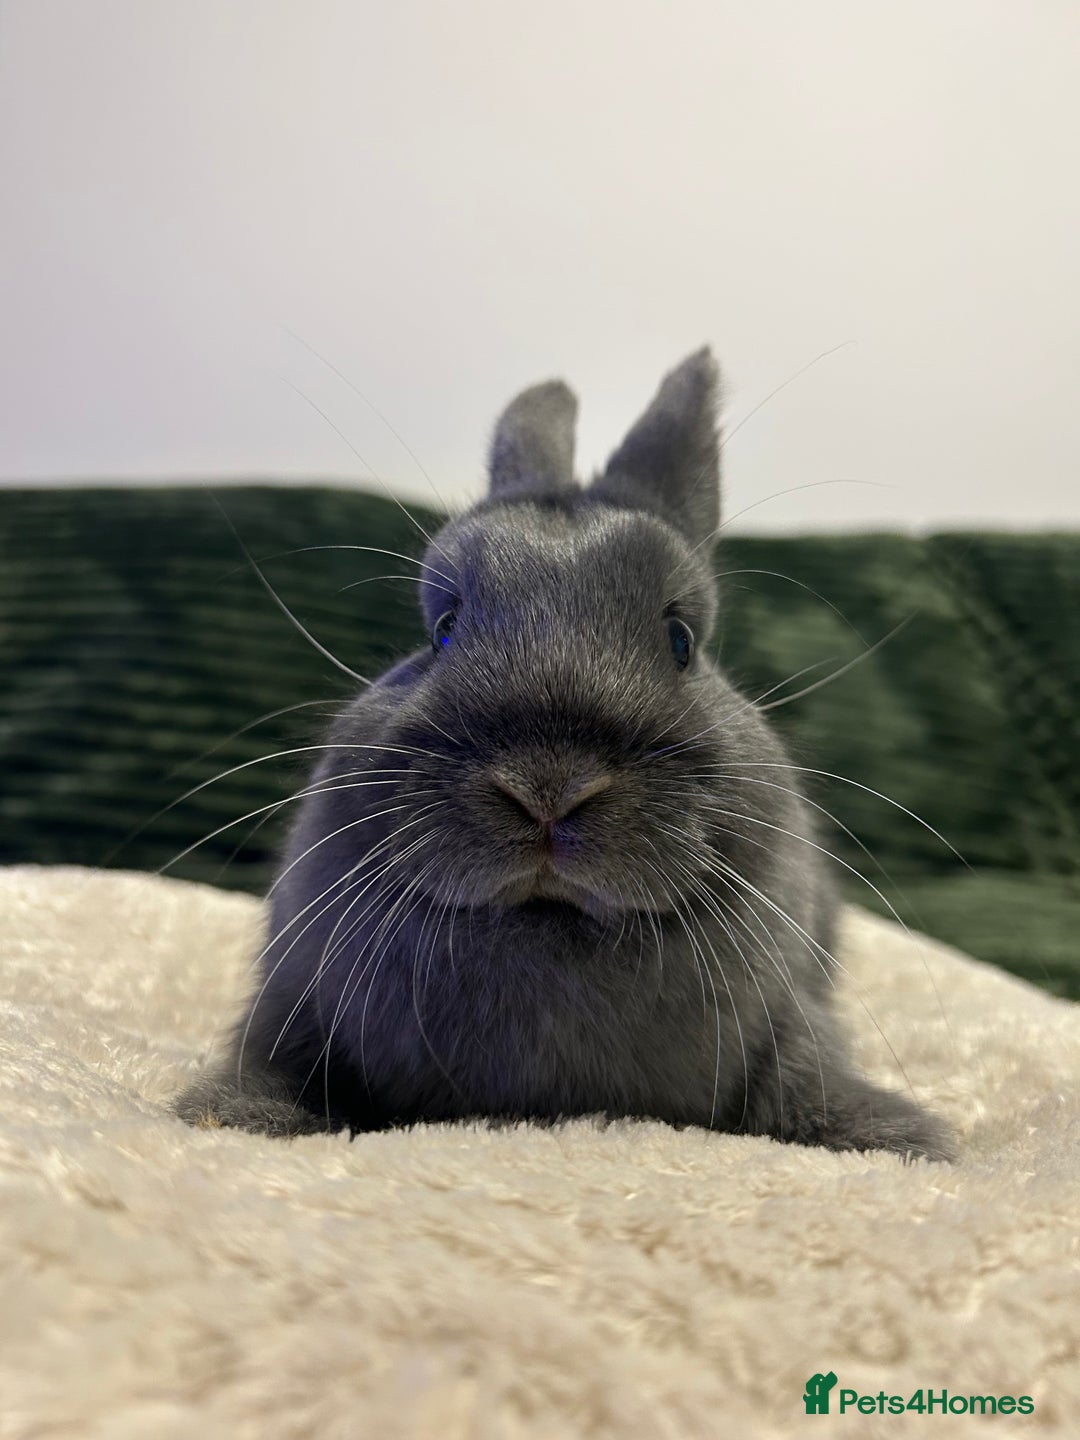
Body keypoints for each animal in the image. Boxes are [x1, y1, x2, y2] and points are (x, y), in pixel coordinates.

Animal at [175, 348, 954, 1162]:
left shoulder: (791, 1021)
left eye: (682, 640)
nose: (547, 788)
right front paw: (239, 1115)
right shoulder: (292, 1004)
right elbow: (277, 1064)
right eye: (442, 629)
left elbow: (806, 1084)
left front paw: (896, 1139)